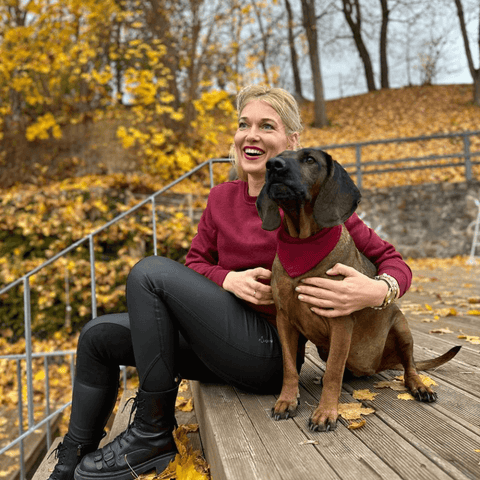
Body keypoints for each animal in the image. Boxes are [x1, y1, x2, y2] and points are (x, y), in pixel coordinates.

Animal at [255, 149, 462, 432]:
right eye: (279, 156)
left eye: (309, 160)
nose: (273, 165)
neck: (303, 244)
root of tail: (378, 364)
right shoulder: (285, 320)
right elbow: (289, 367)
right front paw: (286, 400)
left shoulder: (340, 323)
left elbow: (334, 371)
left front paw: (325, 412)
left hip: (400, 325)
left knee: (409, 366)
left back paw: (419, 386)